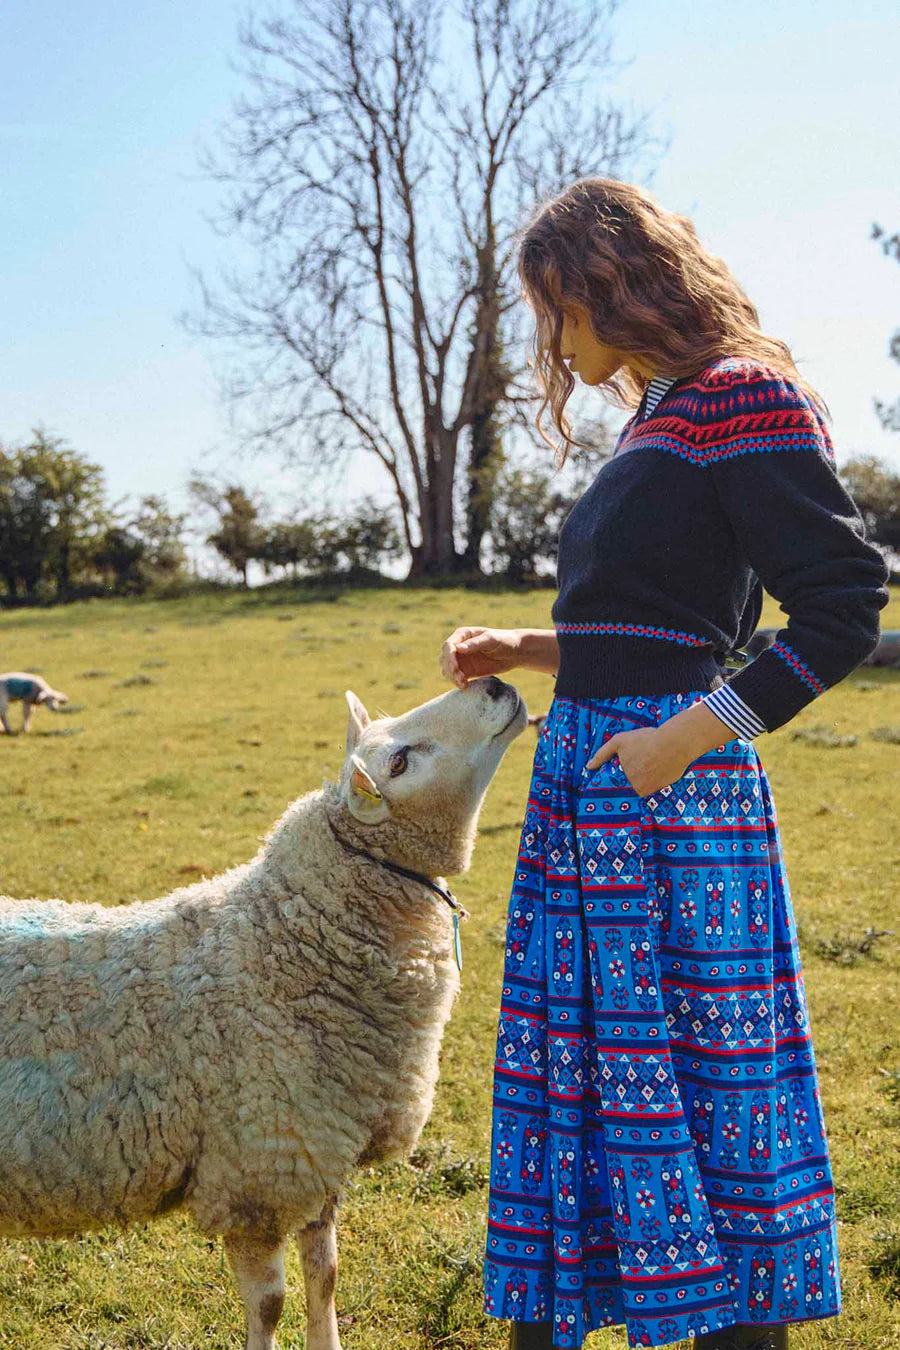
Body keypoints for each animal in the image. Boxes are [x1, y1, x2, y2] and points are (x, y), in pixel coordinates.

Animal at [1, 680, 528, 1350]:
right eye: (400, 762)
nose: (495, 684)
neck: (286, 942)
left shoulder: (317, 1155)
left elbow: (325, 1276)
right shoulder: (257, 1172)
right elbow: (271, 1304)